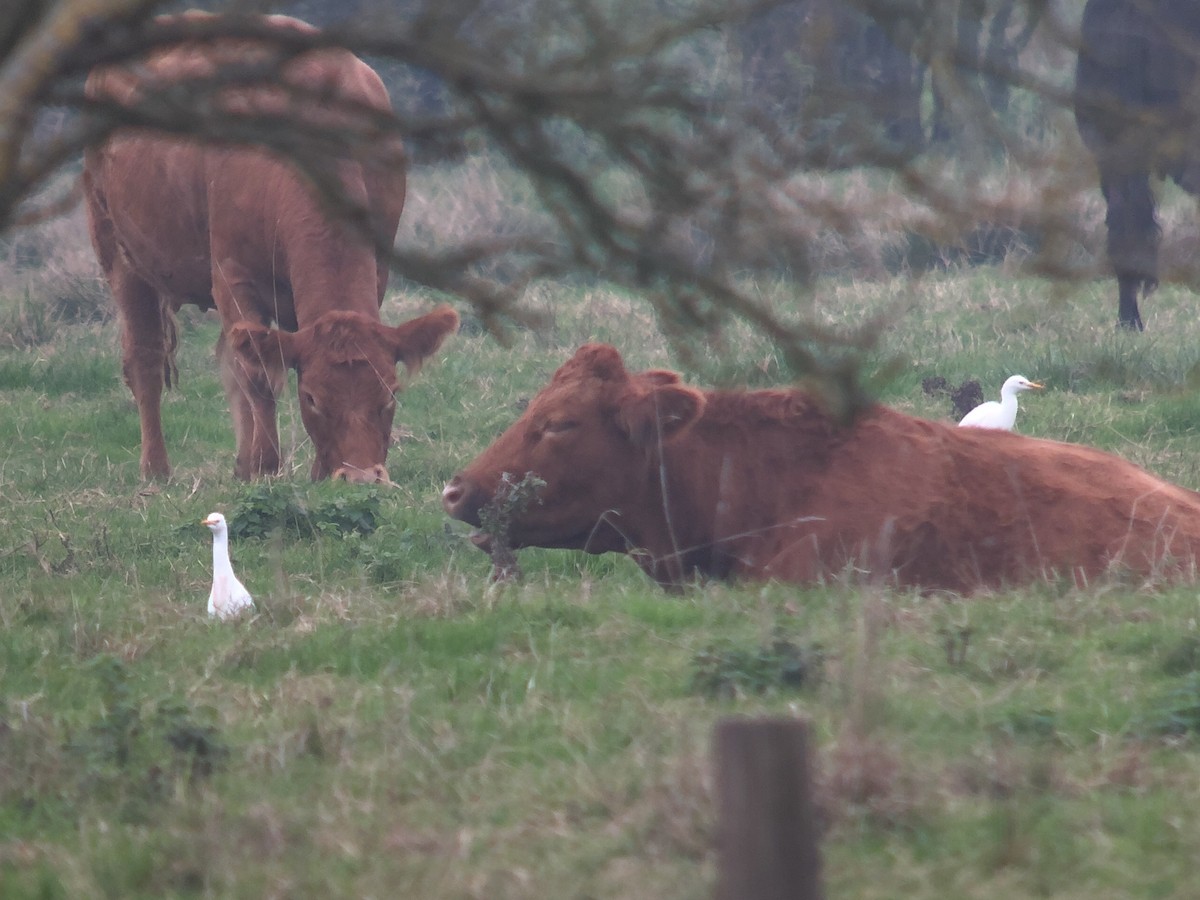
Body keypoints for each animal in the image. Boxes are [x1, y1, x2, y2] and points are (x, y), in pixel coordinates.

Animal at [83, 12, 459, 482]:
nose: (359, 477)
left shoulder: (377, 269)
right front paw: (265, 466)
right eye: (312, 397)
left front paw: (295, 469)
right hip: (117, 252)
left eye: (390, 394)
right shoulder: (232, 276)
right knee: (145, 359)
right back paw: (156, 471)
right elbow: (259, 375)